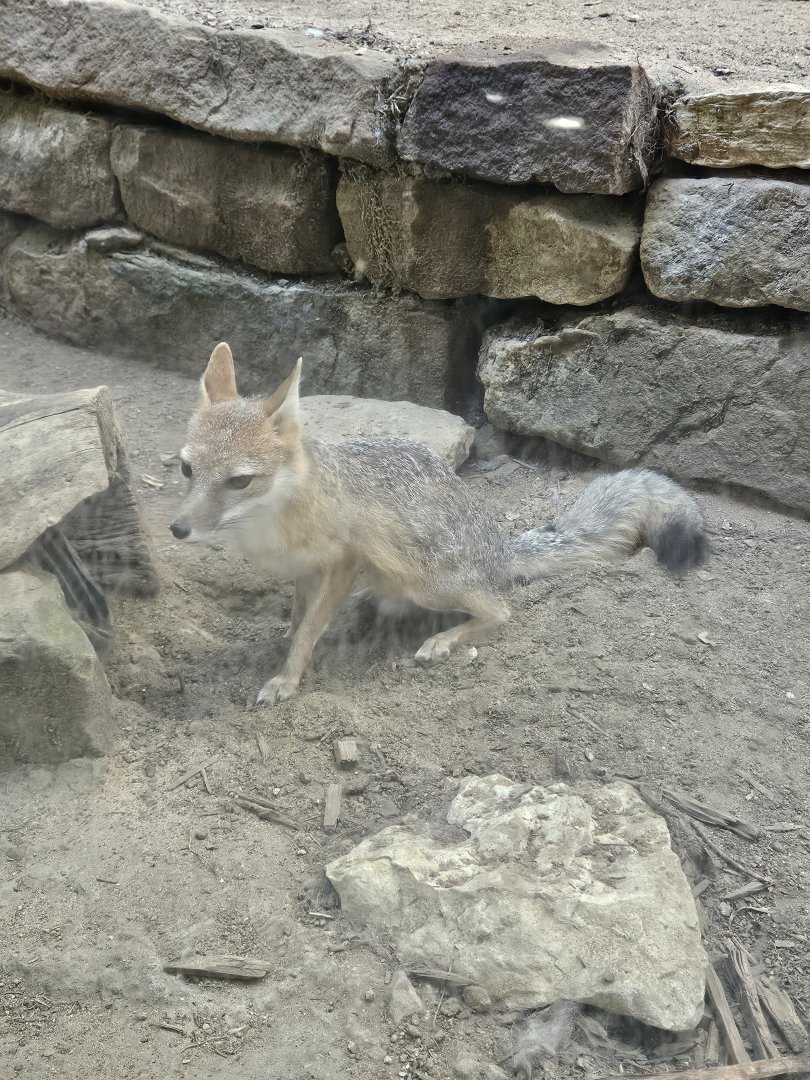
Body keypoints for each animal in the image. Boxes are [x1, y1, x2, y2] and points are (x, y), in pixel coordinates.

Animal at [170, 343, 708, 706]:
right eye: (186, 469)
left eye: (239, 481)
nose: (177, 530)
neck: (273, 524)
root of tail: (500, 546)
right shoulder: (303, 571)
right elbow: (299, 619)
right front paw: (284, 648)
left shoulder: (343, 563)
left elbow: (308, 631)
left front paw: (288, 678)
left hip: (422, 578)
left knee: (501, 611)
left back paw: (442, 641)